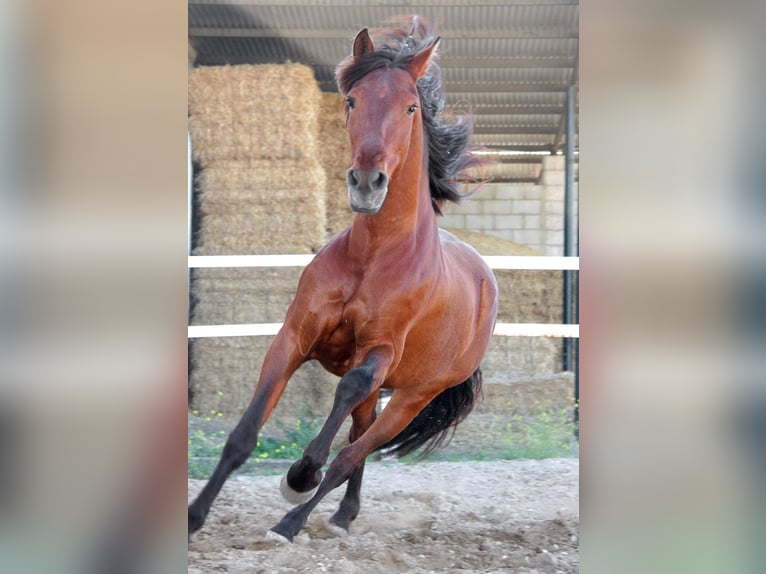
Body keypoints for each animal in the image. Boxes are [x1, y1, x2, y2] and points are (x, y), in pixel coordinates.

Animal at [189, 18, 500, 548]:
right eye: (352, 100)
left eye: (411, 107)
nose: (367, 182)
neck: (372, 258)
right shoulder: (293, 337)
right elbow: (242, 436)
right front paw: (193, 516)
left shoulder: (379, 352)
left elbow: (345, 400)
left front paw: (300, 474)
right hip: (385, 395)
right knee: (357, 437)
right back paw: (342, 514)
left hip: (413, 397)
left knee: (354, 451)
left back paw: (293, 519)